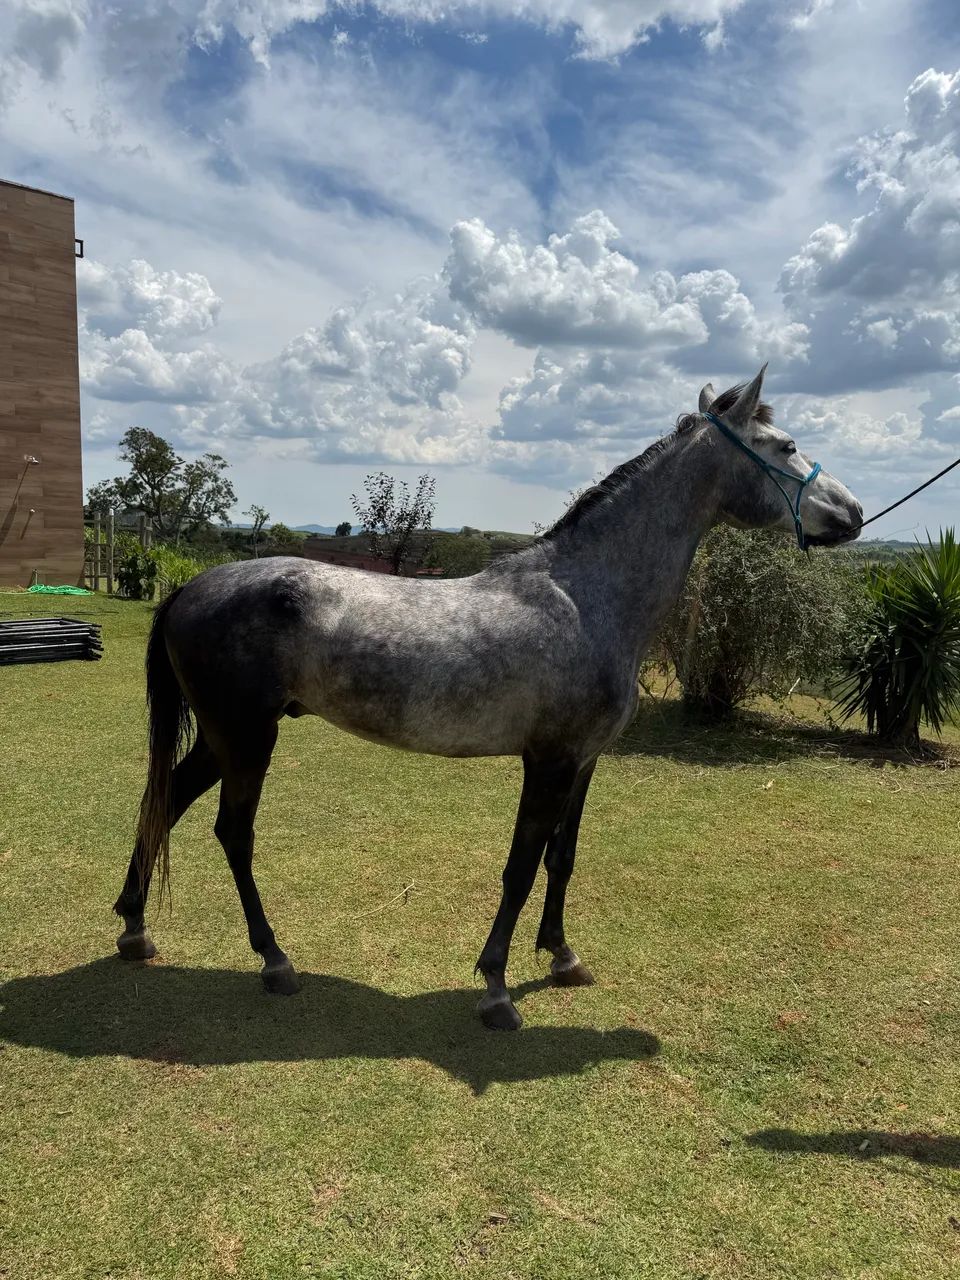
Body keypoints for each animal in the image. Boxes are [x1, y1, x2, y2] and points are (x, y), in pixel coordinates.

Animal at [114, 366, 862, 1030]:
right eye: (786, 446)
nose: (853, 514)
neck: (585, 596)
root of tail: (189, 589)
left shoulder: (584, 762)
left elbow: (562, 858)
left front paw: (561, 956)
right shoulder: (548, 761)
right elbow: (521, 867)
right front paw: (497, 987)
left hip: (224, 738)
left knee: (165, 801)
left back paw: (134, 929)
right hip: (247, 738)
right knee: (232, 832)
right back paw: (274, 961)